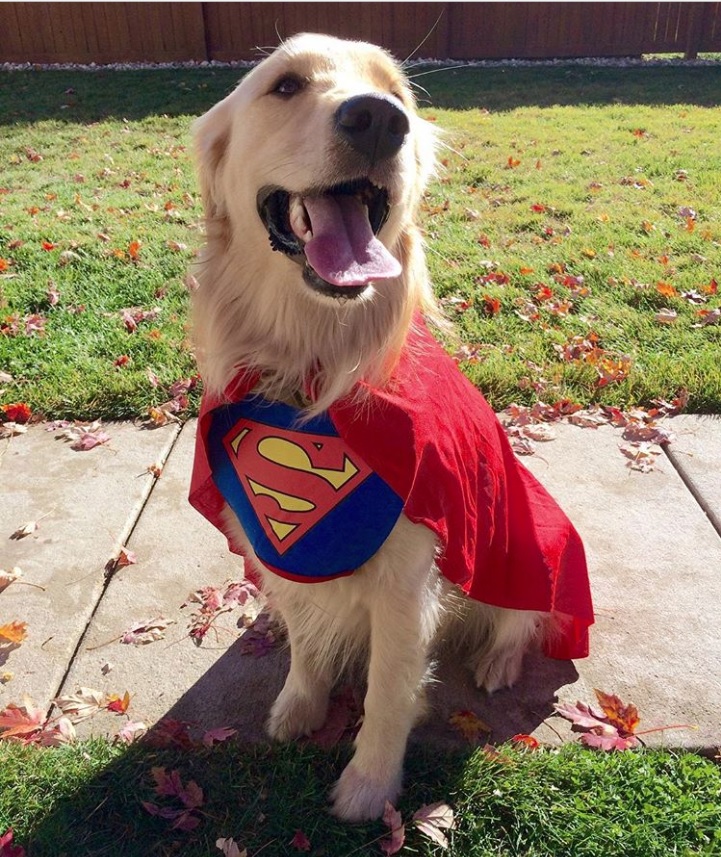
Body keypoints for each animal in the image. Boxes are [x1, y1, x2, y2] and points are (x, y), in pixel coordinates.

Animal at [188, 33, 592, 820]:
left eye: (399, 94)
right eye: (286, 85)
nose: (378, 120)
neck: (314, 372)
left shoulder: (406, 583)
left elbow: (386, 693)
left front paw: (368, 786)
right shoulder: (285, 555)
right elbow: (307, 643)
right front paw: (300, 705)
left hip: (530, 536)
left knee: (522, 616)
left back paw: (498, 660)